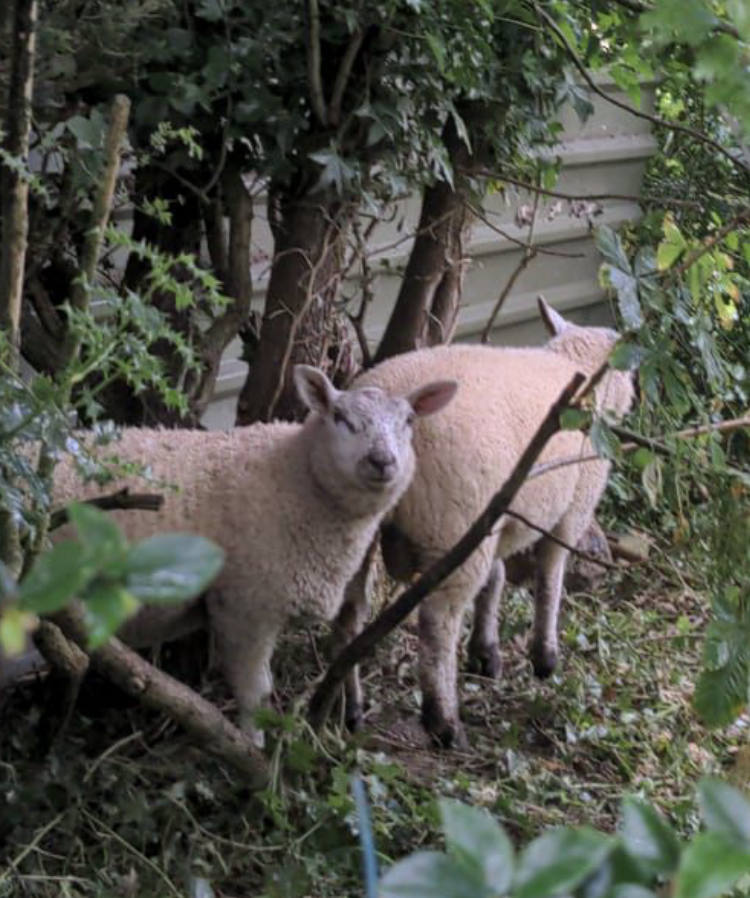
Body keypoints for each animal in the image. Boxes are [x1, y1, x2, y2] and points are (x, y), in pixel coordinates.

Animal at [45, 365, 458, 745]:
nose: (382, 460)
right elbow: (255, 695)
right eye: (340, 418)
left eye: (409, 421)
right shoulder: (246, 605)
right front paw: (253, 751)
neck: (297, 477)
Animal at [344, 299, 634, 746]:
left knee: (350, 611)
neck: (575, 368)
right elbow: (550, 576)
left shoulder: (496, 516)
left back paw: (351, 708)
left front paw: (485, 651)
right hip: (452, 523)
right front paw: (544, 657)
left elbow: (496, 578)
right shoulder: (570, 510)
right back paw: (442, 721)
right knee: (437, 623)